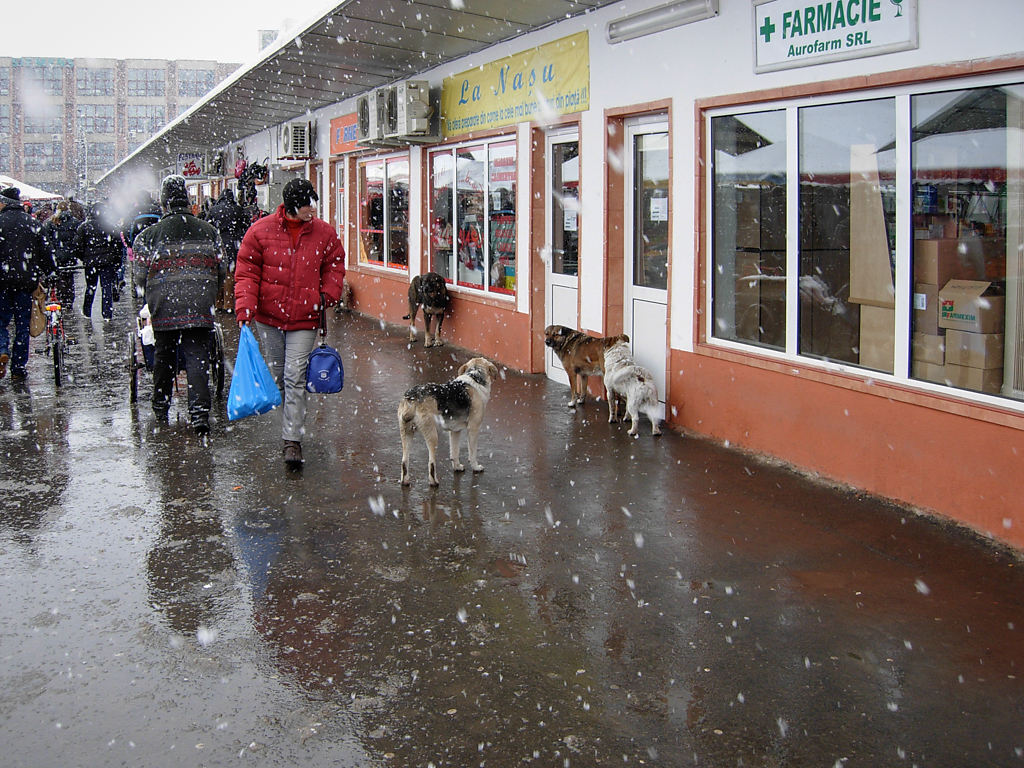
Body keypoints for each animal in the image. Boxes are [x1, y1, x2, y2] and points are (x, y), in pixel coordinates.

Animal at [397, 356, 497, 487]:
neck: (475, 375)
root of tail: (412, 397)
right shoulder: (473, 429)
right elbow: (472, 453)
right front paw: (476, 467)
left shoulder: (455, 431)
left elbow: (454, 452)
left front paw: (457, 467)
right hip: (432, 435)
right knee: (431, 463)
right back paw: (434, 482)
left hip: (406, 433)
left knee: (404, 461)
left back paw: (405, 481)